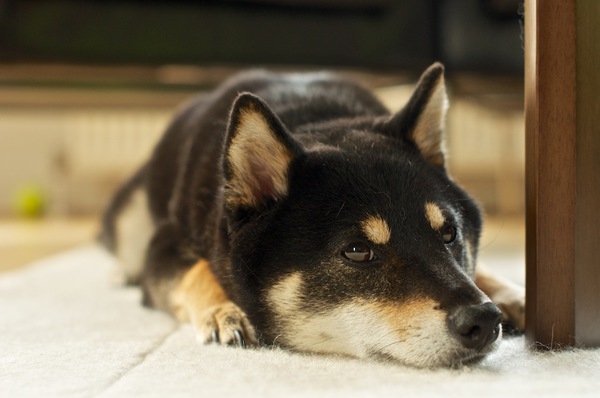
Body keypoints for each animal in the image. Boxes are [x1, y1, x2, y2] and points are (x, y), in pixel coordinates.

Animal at [101, 63, 524, 368]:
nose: (485, 320)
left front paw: (509, 292)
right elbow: (196, 271)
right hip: (130, 217)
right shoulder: (165, 242)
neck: (316, 119)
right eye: (357, 251)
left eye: (449, 234)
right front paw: (223, 311)